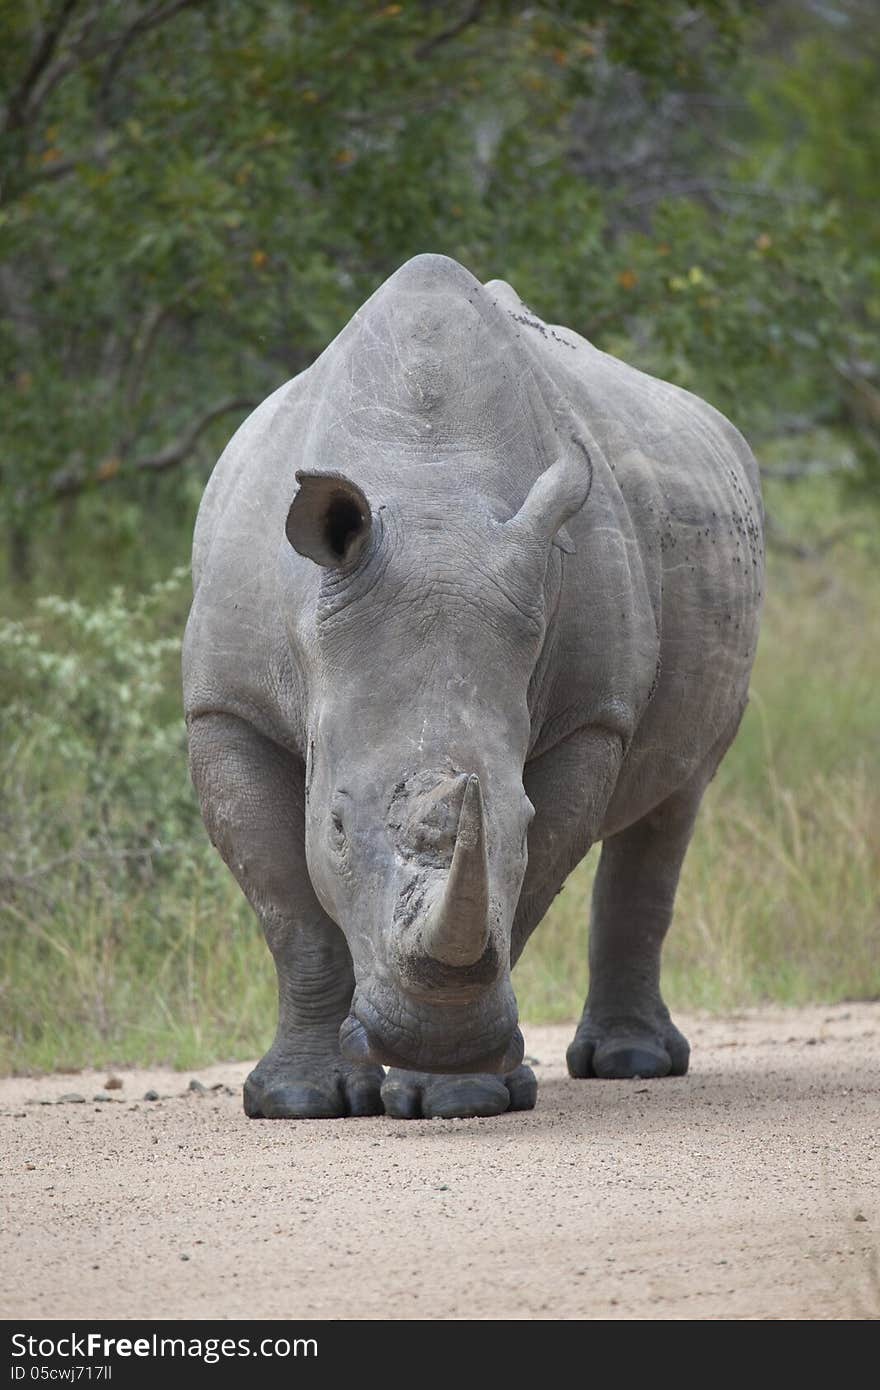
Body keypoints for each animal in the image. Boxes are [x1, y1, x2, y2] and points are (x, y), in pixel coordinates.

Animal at [183, 252, 761, 1117]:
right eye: (337, 829)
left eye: (519, 817)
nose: (424, 1038)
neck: (429, 492)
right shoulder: (227, 707)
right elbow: (291, 911)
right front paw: (298, 1101)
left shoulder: (592, 715)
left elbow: (531, 880)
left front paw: (458, 1092)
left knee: (676, 798)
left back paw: (629, 1063)